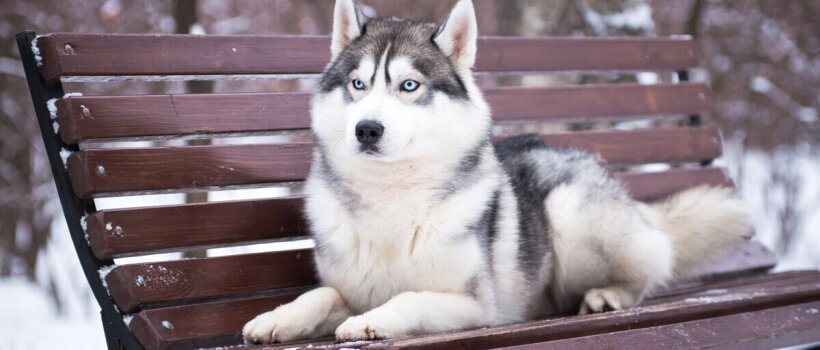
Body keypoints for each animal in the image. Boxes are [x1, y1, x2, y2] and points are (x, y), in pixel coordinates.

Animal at [242, 0, 748, 344]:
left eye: (410, 85)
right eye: (358, 84)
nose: (367, 128)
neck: (392, 198)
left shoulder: (473, 304)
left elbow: (408, 298)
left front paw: (372, 321)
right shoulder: (347, 286)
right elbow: (319, 295)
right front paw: (276, 318)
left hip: (571, 213)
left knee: (650, 266)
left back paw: (609, 295)